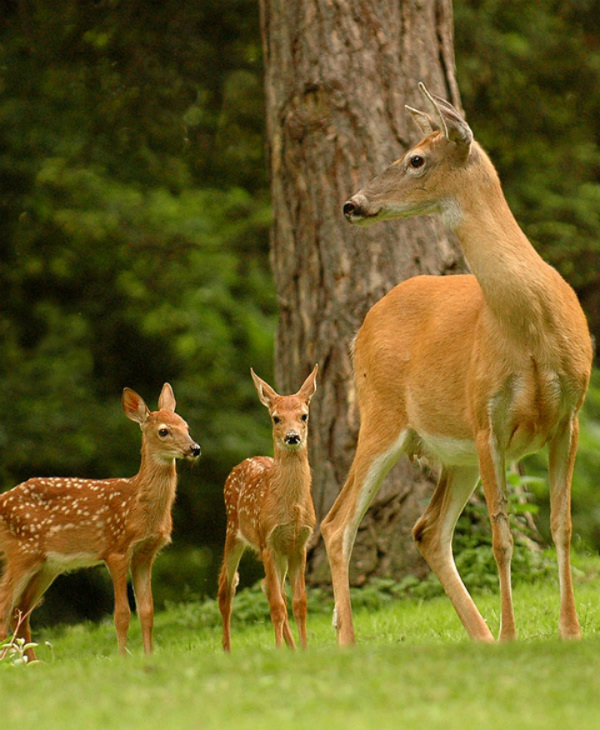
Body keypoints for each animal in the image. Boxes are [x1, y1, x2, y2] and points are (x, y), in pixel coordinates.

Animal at [0, 384, 202, 656]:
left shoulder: (145, 553)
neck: (137, 505)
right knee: (5, 607)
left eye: (186, 426)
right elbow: (122, 614)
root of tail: (2, 499)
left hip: (47, 565)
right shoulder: (116, 550)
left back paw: (30, 662)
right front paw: (123, 657)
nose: (194, 448)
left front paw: (149, 655)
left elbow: (147, 612)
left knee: (20, 611)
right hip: (21, 552)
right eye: (164, 431)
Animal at [219, 364, 318, 648]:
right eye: (276, 418)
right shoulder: (267, 542)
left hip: (281, 553)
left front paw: (304, 649)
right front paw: (277, 649)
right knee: (226, 588)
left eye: (304, 416)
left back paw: (292, 648)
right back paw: (227, 649)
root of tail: (243, 462)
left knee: (268, 587)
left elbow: (299, 603)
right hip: (234, 532)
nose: (292, 437)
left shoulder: (299, 544)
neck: (291, 506)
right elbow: (277, 606)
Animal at [322, 82, 592, 644]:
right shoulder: (486, 415)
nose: (352, 204)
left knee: (427, 530)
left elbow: (562, 526)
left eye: (415, 159)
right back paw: (349, 642)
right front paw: (513, 635)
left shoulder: (569, 415)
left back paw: (480, 637)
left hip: (454, 453)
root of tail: (362, 327)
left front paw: (570, 631)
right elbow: (501, 536)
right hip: (382, 417)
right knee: (337, 524)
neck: (530, 328)